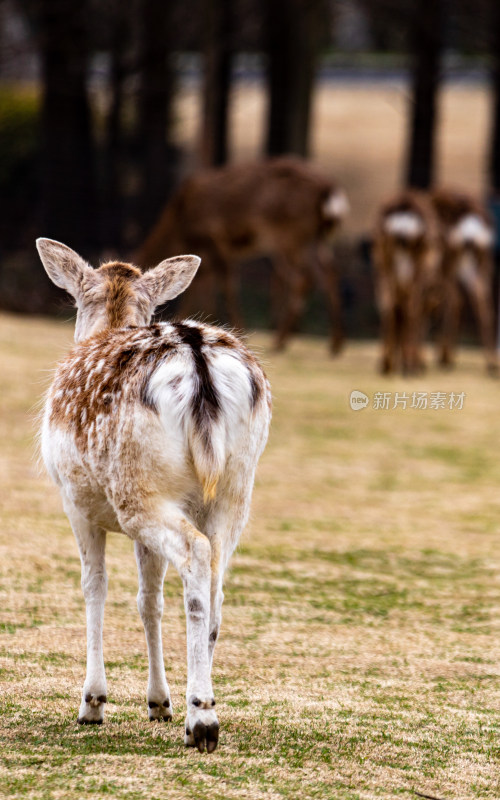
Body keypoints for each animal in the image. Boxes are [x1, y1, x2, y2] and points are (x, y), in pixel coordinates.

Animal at [36, 236, 272, 752]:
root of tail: (197, 360)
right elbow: (149, 599)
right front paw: (157, 703)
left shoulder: (74, 500)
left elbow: (95, 586)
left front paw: (93, 704)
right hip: (234, 489)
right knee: (216, 576)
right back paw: (196, 704)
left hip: (137, 490)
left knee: (196, 553)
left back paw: (202, 719)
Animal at [135, 156, 350, 354]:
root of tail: (328, 190)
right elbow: (201, 284)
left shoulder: (215, 238)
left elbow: (226, 285)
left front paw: (237, 332)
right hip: (314, 237)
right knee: (330, 271)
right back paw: (335, 344)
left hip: (290, 236)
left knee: (304, 277)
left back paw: (280, 341)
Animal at [372, 191, 438, 376]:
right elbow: (419, 321)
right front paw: (417, 364)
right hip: (416, 274)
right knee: (411, 311)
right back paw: (410, 367)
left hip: (383, 266)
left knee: (388, 308)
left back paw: (386, 365)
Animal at [432, 188, 498, 376]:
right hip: (481, 261)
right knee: (483, 302)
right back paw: (491, 364)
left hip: (452, 260)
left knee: (455, 300)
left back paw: (446, 358)